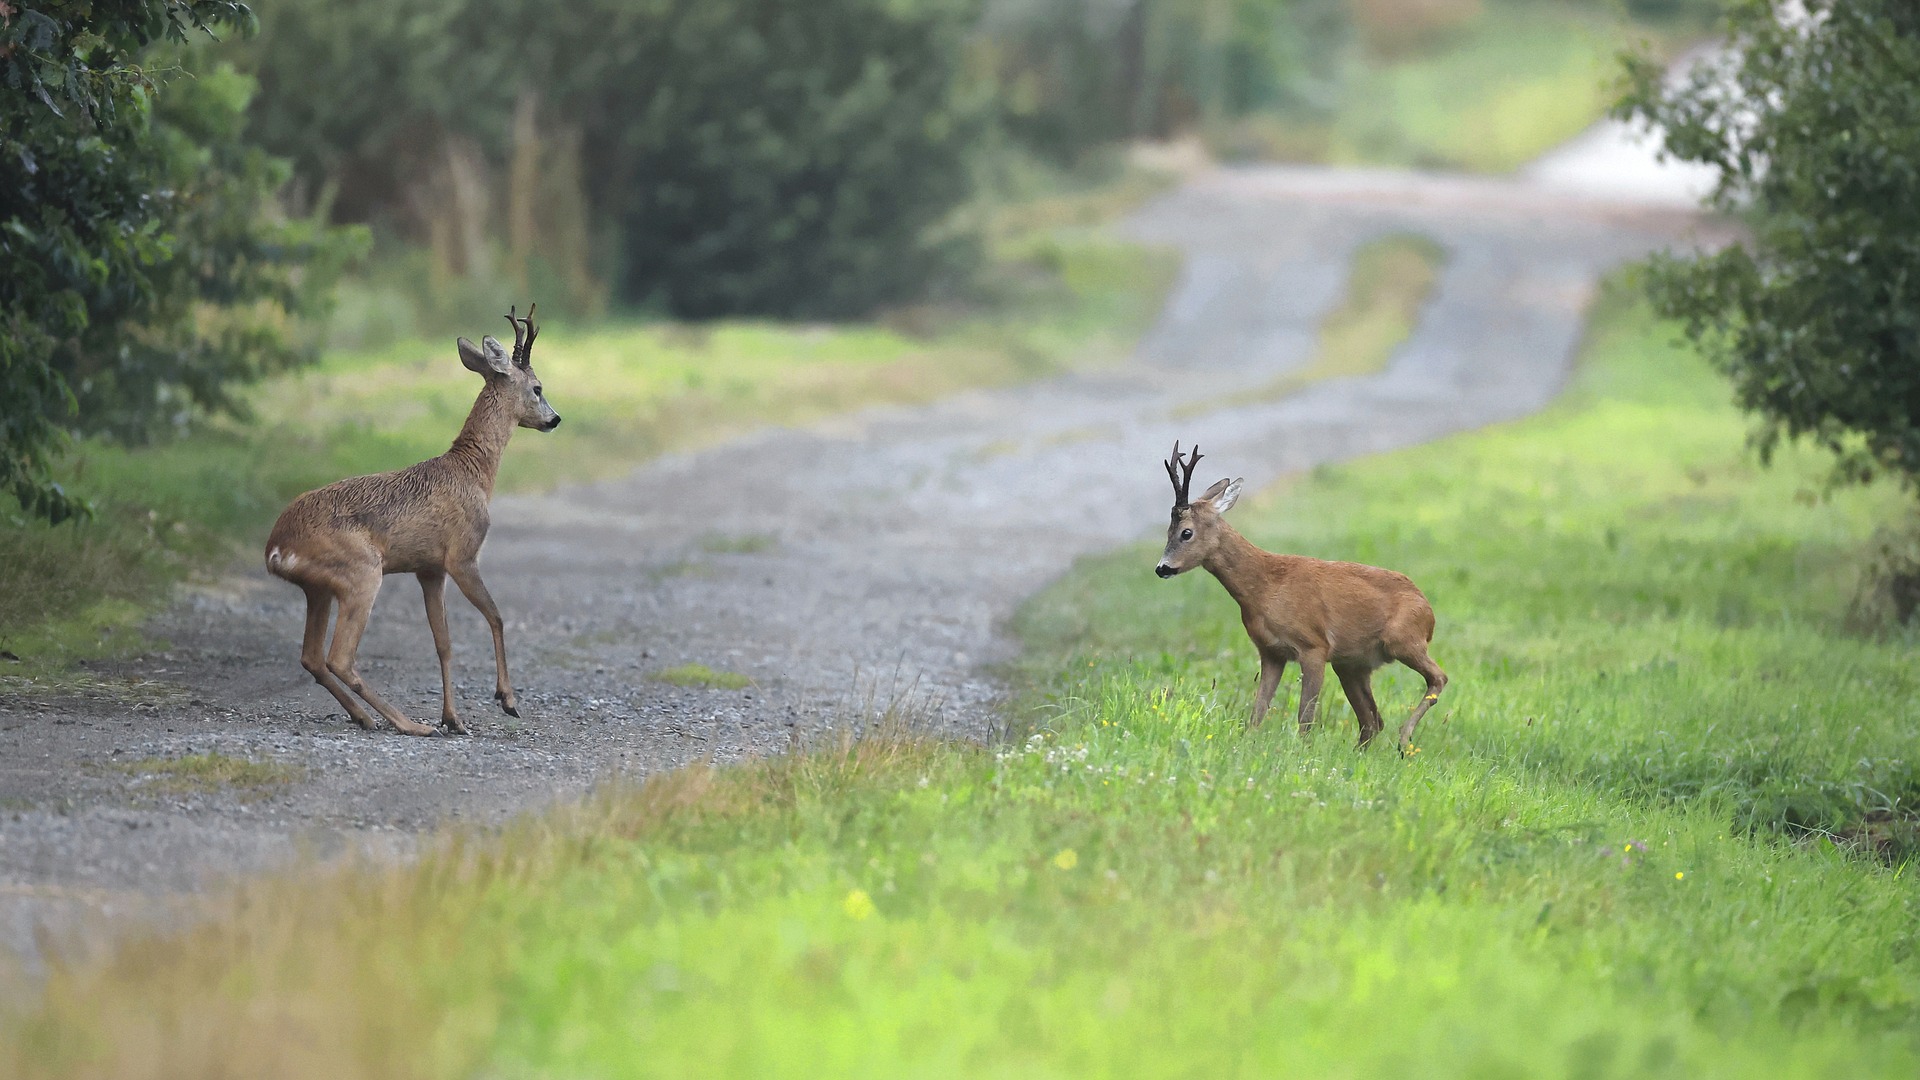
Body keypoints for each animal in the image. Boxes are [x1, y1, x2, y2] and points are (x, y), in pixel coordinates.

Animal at [263, 305, 561, 736]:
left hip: (318, 589)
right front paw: (507, 700)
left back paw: (365, 716)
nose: (555, 419)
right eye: (537, 388)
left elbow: (444, 642)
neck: (473, 473)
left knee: (312, 657)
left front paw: (453, 718)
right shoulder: (462, 555)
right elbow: (497, 617)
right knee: (339, 657)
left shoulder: (429, 569)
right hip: (361, 573)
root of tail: (276, 547)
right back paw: (408, 724)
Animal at [1153, 443, 1447, 751]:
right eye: (1168, 531)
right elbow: (1257, 713)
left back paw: (1404, 738)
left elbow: (1305, 717)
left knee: (1438, 678)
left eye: (1186, 533)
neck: (1265, 589)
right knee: (1372, 721)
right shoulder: (1270, 652)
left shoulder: (1314, 645)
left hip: (1403, 639)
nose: (1162, 568)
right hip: (1352, 664)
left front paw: (1303, 754)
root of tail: (1429, 613)